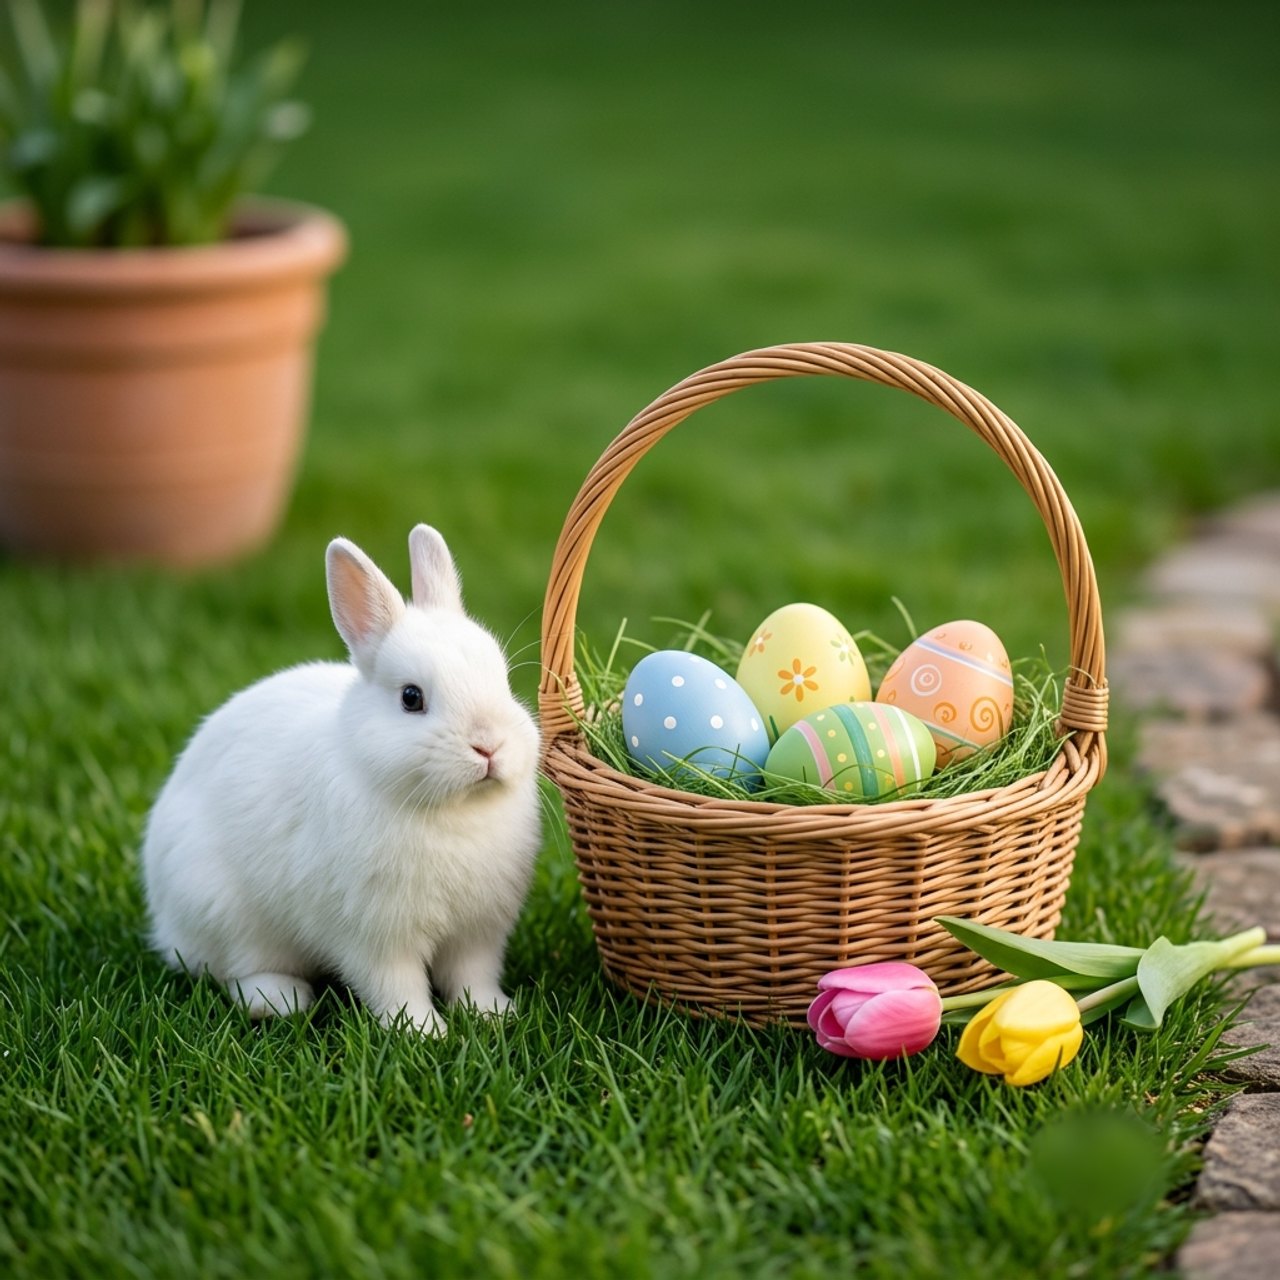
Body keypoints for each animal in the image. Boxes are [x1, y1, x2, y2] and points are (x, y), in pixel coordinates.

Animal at [141, 524, 542, 1036]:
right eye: (411, 698)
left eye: (504, 681)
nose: (489, 746)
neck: (454, 810)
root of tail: (162, 918)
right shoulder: (374, 936)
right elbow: (397, 985)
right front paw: (423, 1033)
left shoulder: (478, 932)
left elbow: (472, 975)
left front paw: (494, 1014)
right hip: (222, 912)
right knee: (234, 971)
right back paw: (281, 1001)